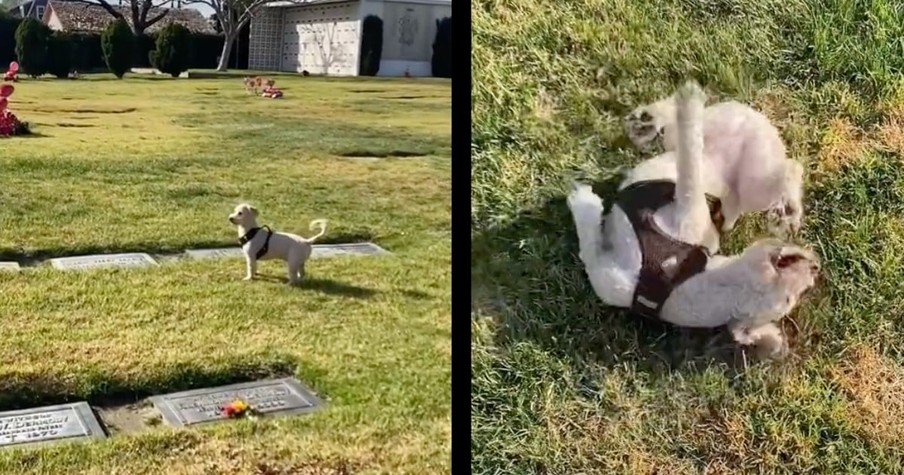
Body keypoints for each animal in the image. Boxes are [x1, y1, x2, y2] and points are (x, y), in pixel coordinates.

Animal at [572, 81, 820, 356]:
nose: (815, 268)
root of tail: (752, 118)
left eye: (790, 299)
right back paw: (652, 118)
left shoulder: (604, 272)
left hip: (753, 182)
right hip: (722, 144)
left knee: (788, 168)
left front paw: (582, 200)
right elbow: (689, 169)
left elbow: (588, 242)